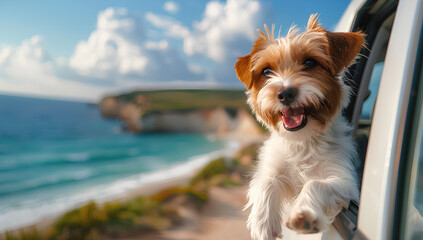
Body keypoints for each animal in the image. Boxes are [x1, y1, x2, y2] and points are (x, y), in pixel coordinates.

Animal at [235, 14, 364, 239]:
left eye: (310, 62)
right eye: (266, 71)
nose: (285, 93)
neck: (302, 140)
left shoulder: (344, 181)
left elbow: (314, 183)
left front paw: (303, 213)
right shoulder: (271, 166)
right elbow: (266, 181)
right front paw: (263, 222)